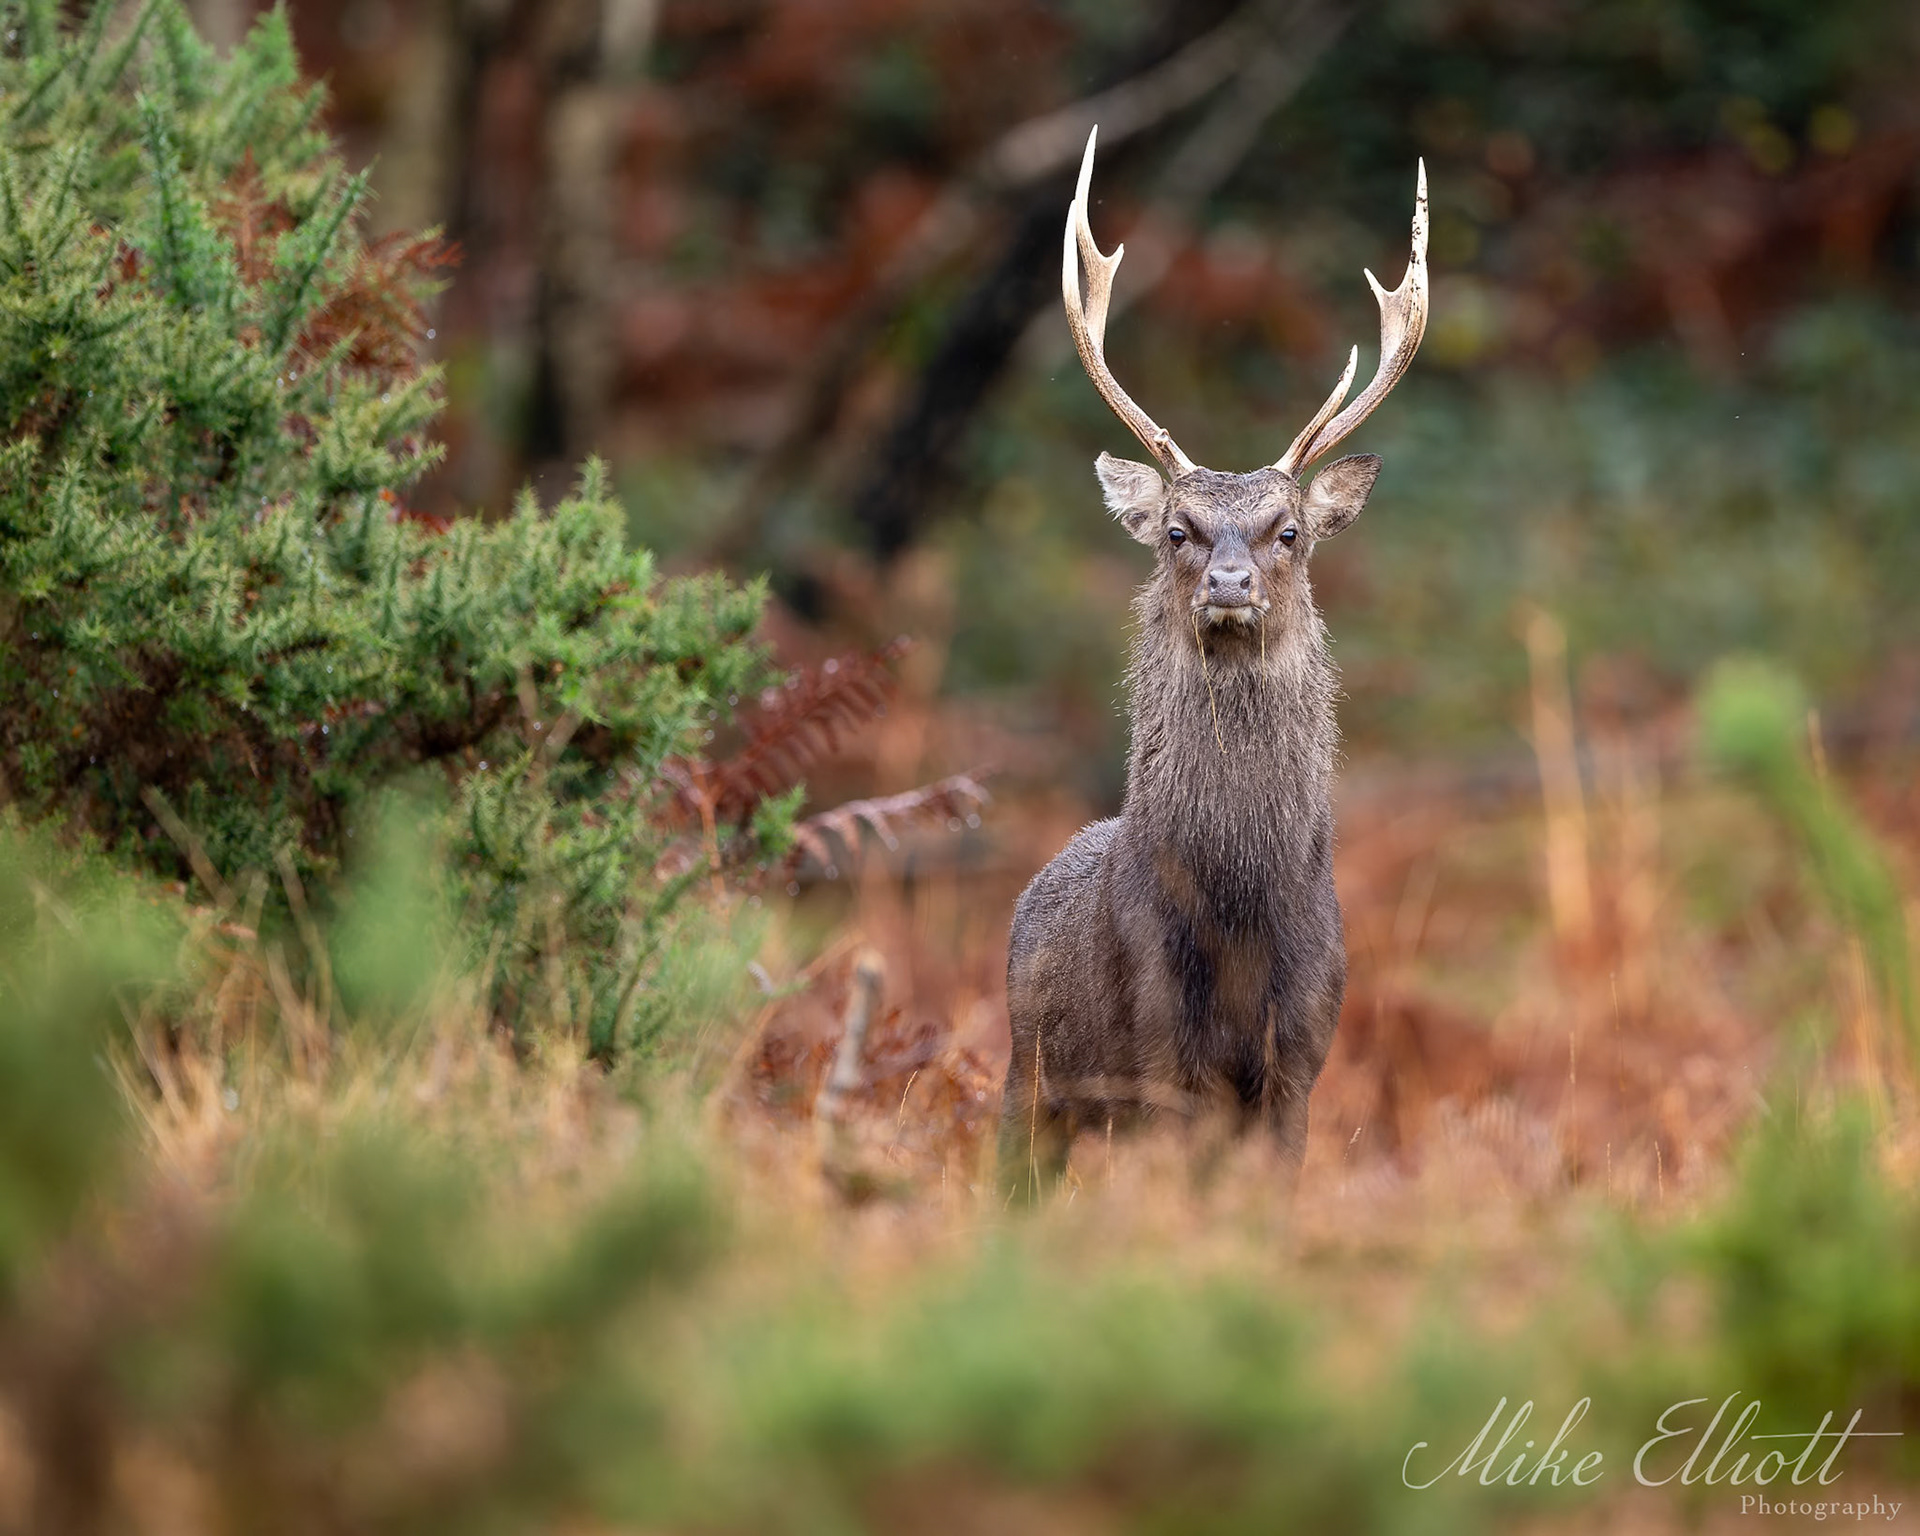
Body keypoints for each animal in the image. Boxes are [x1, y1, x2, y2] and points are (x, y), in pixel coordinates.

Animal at [1000, 127, 1428, 1200]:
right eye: (1178, 531)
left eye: (1289, 532)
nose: (1230, 583)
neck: (1239, 912)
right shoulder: (1157, 1044)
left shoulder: (1302, 1054)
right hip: (1029, 1070)